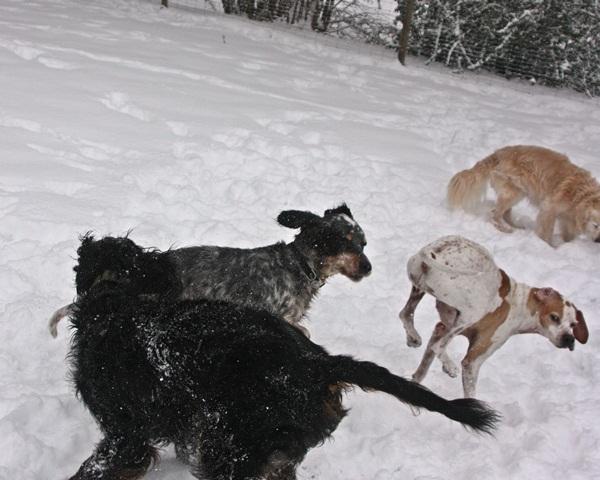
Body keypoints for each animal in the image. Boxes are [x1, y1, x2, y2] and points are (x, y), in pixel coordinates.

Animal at [396, 236, 588, 398]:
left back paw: (414, 336)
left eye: (573, 324)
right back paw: (450, 365)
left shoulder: (442, 328)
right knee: (437, 345)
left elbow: (423, 368)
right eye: (554, 317)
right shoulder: (474, 360)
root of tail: (434, 252)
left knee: (406, 314)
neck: (520, 304)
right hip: (471, 313)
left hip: (419, 290)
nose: (569, 339)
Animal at [448, 144, 600, 246]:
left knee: (505, 213)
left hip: (516, 192)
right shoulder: (549, 209)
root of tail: (498, 154)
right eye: (596, 225)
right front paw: (549, 247)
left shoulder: (567, 218)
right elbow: (546, 232)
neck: (581, 195)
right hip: (514, 192)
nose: (598, 241)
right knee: (494, 214)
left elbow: (568, 234)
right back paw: (505, 229)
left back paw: (516, 227)